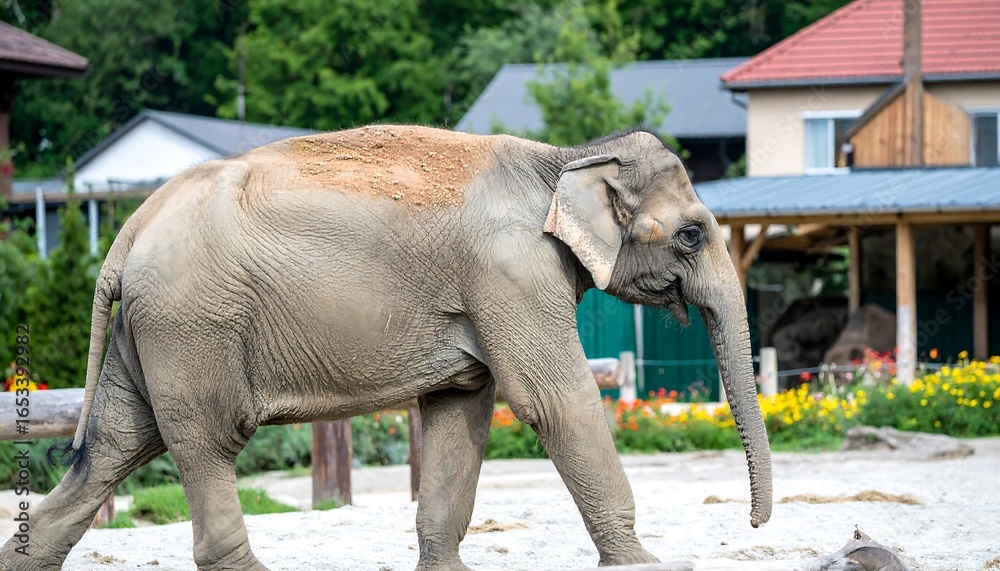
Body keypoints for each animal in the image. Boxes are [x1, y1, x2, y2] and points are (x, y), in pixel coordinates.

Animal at [0, 125, 771, 570]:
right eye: (693, 234)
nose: (756, 523)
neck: (564, 158)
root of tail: (126, 231)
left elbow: (460, 410)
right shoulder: (510, 273)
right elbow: (554, 401)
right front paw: (647, 564)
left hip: (149, 332)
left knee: (111, 449)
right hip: (193, 325)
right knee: (206, 442)